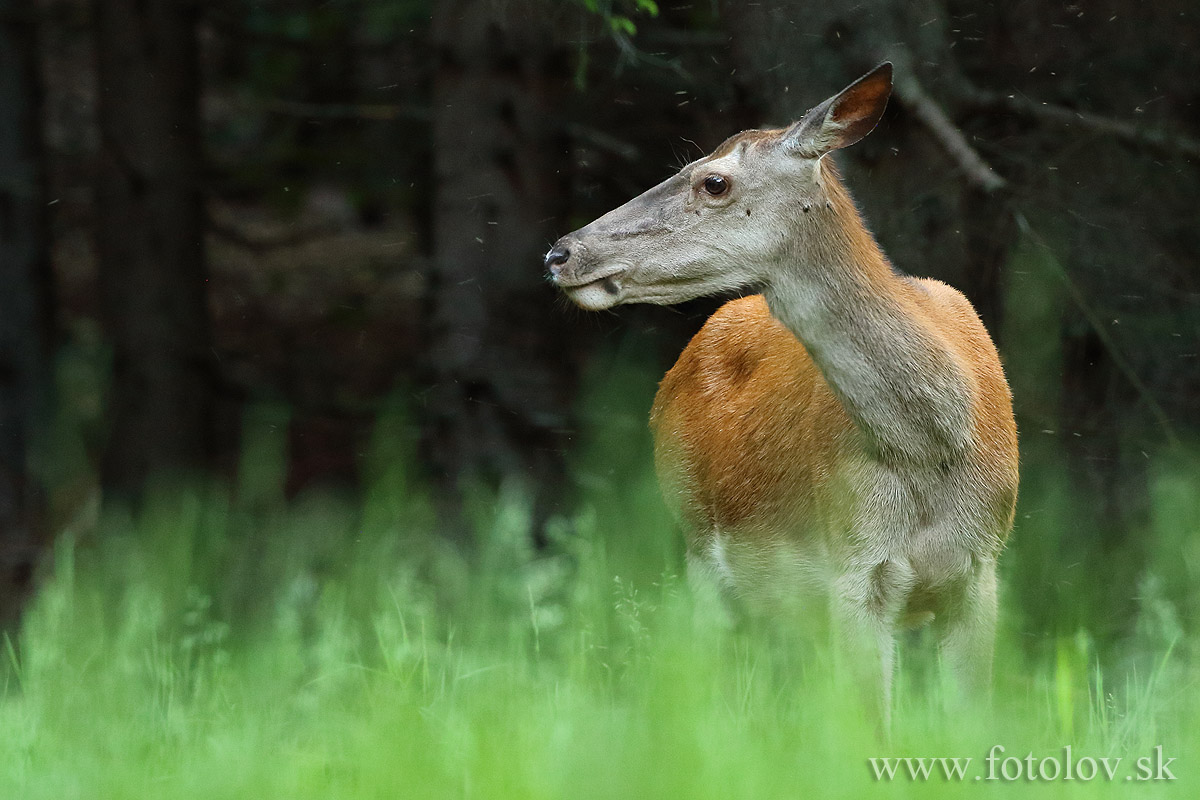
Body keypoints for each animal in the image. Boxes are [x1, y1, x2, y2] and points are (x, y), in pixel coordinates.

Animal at [549, 64, 1017, 724]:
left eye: (714, 181)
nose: (561, 252)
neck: (934, 445)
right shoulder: (852, 561)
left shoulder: (981, 573)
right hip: (697, 542)